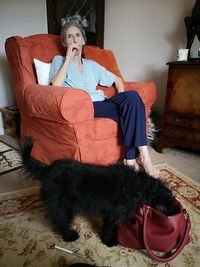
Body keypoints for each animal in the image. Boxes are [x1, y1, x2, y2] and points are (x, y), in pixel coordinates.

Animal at [20, 138, 177, 249]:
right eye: (169, 201)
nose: (176, 211)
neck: (140, 185)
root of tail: (47, 169)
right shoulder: (113, 214)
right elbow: (108, 228)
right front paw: (109, 241)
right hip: (63, 206)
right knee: (62, 221)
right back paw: (69, 236)